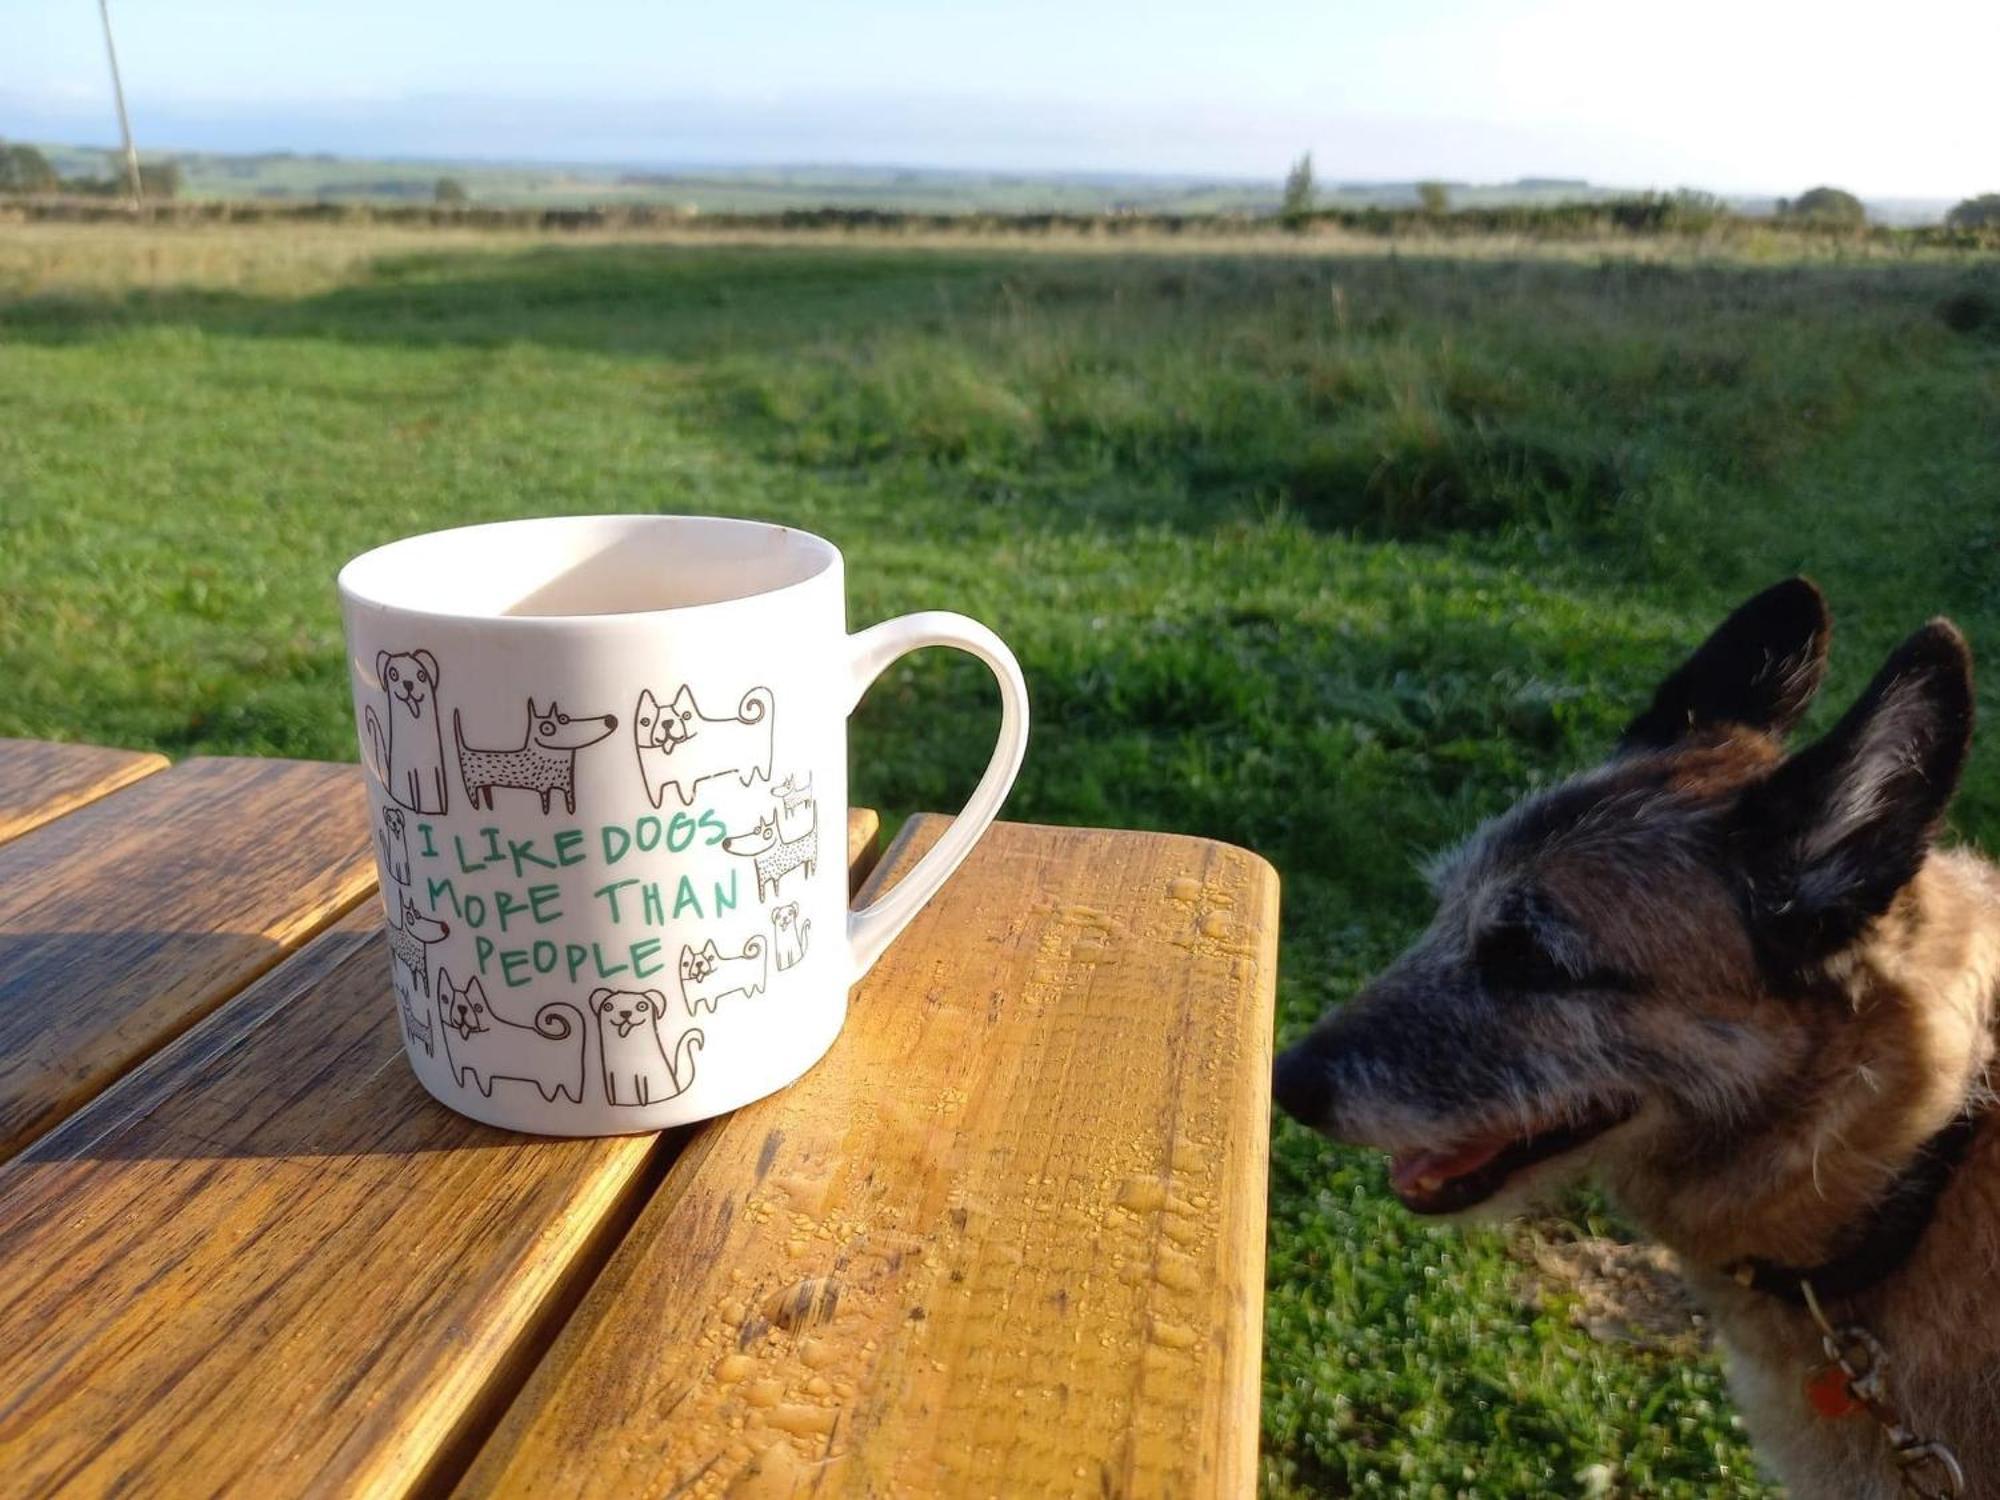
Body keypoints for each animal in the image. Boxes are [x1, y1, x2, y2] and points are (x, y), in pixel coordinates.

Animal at [368, 648, 450, 816]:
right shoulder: (410, 773)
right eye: (393, 674)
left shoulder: (437, 771)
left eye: (421, 675)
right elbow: (415, 799)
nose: (408, 684)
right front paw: (419, 811)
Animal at [438, 976, 584, 1104]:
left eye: (478, 1007)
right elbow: (461, 1080)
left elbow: (484, 1086)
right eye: (445, 999)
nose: (462, 1008)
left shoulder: (483, 1071)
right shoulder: (457, 1066)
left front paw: (484, 1093)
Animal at [456, 700, 616, 816]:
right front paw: (547, 814)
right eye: (547, 728)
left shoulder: (568, 787)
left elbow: (569, 805)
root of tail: (465, 750)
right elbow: (546, 805)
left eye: (564, 717)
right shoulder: (544, 788)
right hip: (471, 785)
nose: (610, 720)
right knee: (474, 800)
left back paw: (489, 808)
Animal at [632, 692, 772, 812]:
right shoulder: (652, 785)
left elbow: (685, 794)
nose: (667, 723)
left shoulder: (685, 779)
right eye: (645, 722)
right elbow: (656, 799)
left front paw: (687, 802)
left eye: (686, 716)